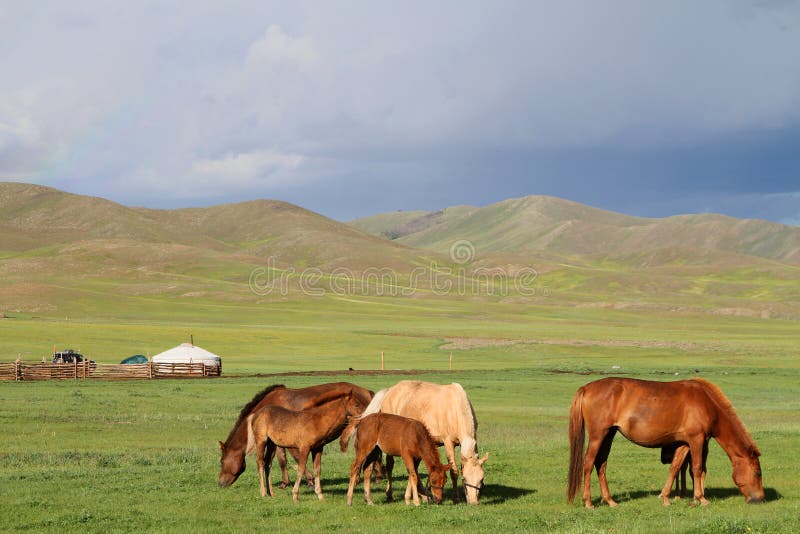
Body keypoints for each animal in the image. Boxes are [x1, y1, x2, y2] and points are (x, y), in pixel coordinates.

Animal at [218, 382, 373, 488]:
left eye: (221, 462)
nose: (220, 483)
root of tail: (367, 392)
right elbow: (282, 460)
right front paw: (285, 483)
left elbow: (295, 459)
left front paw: (309, 480)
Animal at [567, 377, 764, 508]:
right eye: (757, 473)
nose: (760, 499)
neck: (707, 403)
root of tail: (586, 388)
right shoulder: (697, 439)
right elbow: (697, 468)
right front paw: (701, 498)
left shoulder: (684, 443)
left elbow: (675, 468)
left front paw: (666, 496)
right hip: (598, 436)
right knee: (588, 463)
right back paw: (588, 502)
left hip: (609, 434)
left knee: (601, 464)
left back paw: (610, 501)